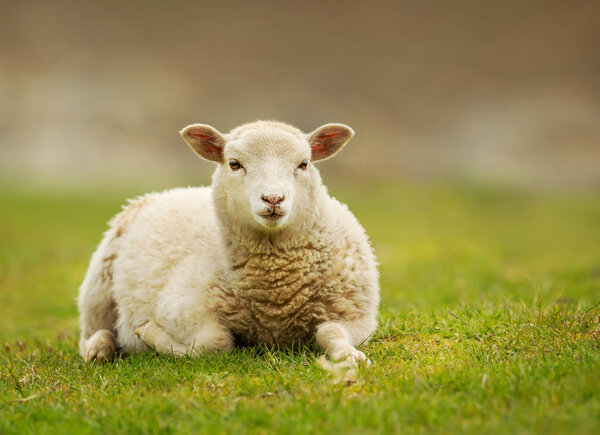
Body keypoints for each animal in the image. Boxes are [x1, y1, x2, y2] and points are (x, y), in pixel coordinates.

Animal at [78, 121, 380, 366]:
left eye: (304, 164)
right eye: (235, 164)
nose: (273, 199)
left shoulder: (358, 315)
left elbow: (330, 332)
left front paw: (350, 356)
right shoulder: (180, 309)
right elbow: (216, 343)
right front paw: (148, 333)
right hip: (98, 285)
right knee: (94, 330)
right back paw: (99, 350)